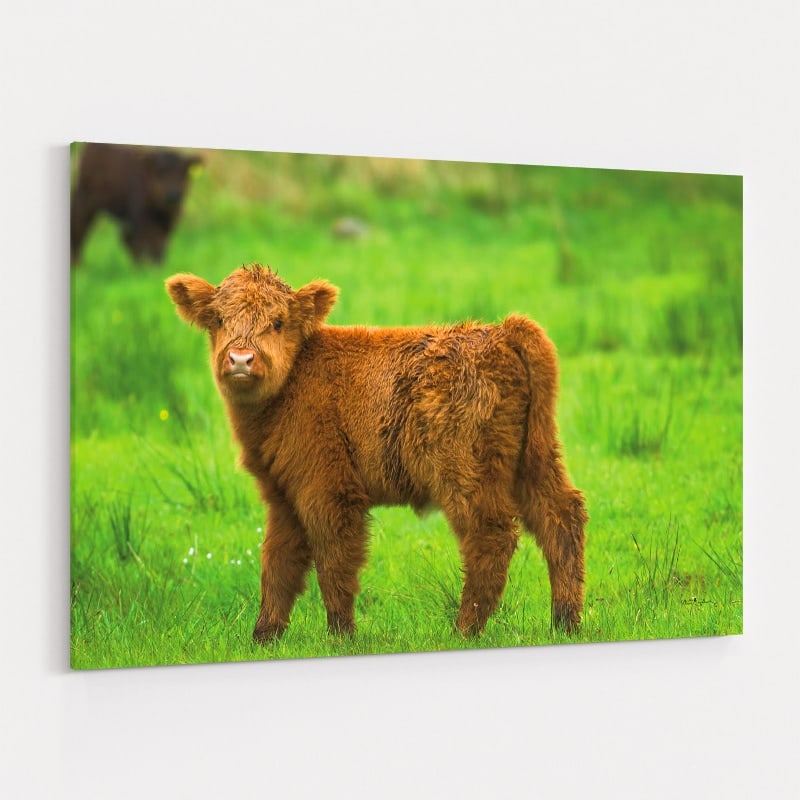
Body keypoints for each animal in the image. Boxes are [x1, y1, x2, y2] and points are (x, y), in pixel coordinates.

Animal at [71, 143, 201, 266]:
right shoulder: (141, 217)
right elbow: (146, 242)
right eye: (159, 172)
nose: (173, 194)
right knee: (80, 228)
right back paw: (77, 264)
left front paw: (157, 267)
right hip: (85, 200)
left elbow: (161, 243)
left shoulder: (170, 220)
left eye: (183, 172)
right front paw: (147, 268)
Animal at [166, 264, 587, 642]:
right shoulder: (283, 495)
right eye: (219, 319)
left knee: (492, 536)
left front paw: (342, 635)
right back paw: (565, 622)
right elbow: (277, 563)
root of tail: (499, 331)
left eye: (279, 322)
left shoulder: (329, 490)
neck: (294, 381)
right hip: (534, 461)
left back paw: (465, 630)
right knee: (561, 517)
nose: (240, 359)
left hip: (466, 472)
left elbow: (334, 562)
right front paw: (263, 635)